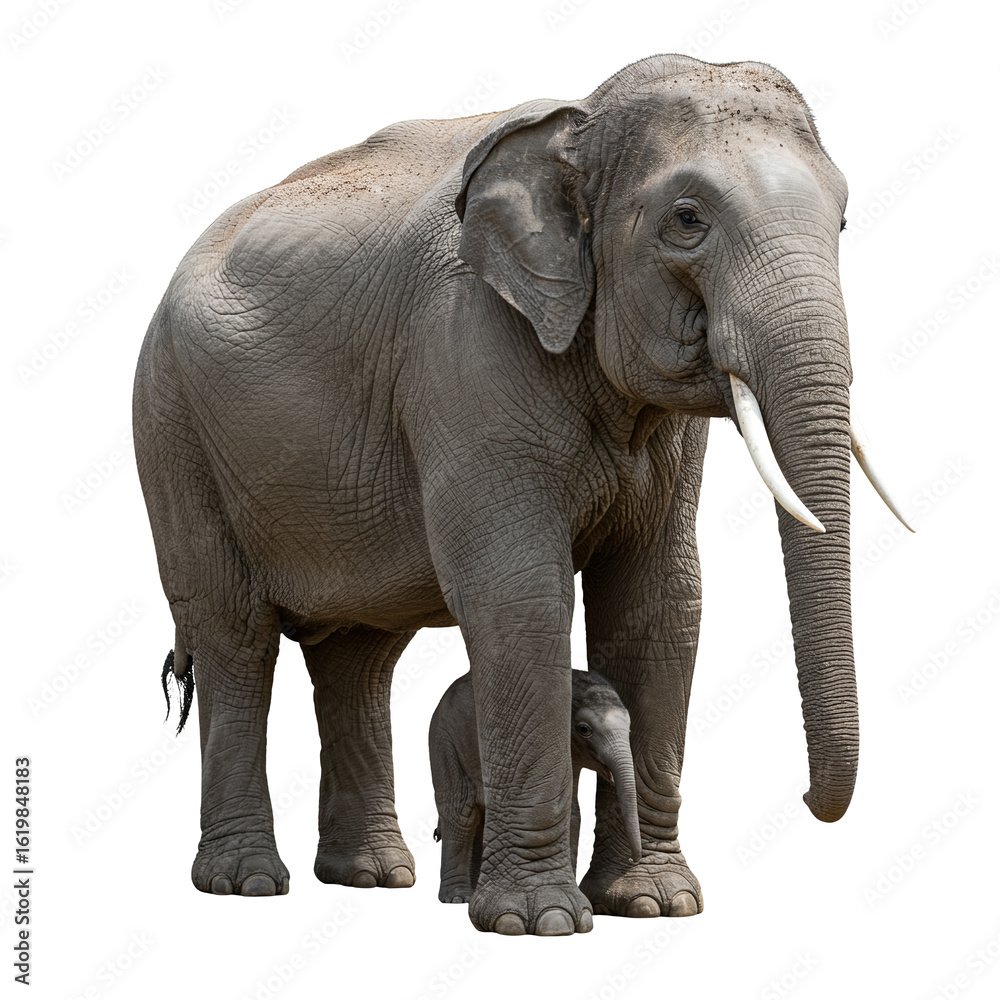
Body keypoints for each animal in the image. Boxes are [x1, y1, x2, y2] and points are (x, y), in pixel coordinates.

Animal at [430, 669, 643, 904]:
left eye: (630, 728)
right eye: (584, 729)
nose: (633, 859)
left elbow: (571, 813)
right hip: (444, 742)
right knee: (461, 811)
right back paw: (457, 899)